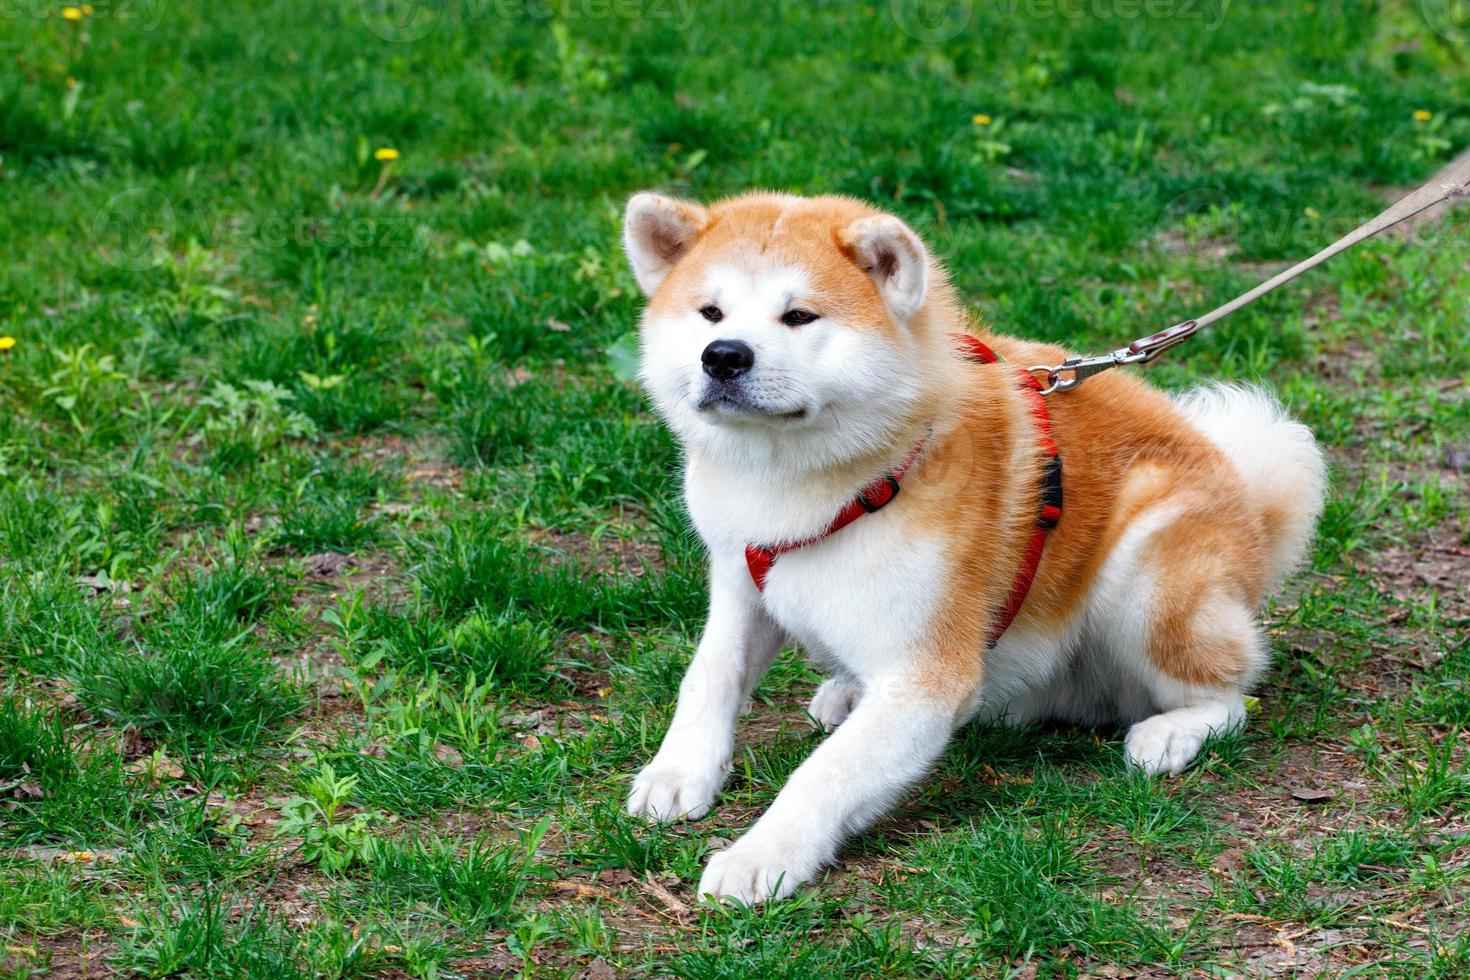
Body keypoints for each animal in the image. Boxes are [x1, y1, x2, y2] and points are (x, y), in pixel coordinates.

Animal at [614, 191, 1328, 905]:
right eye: (710, 312)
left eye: (799, 316)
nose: (723, 355)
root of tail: (1254, 516)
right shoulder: (742, 581)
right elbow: (709, 676)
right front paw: (679, 773)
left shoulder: (930, 678)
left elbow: (824, 775)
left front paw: (761, 854)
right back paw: (849, 691)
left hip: (1144, 576)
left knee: (1229, 696)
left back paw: (1172, 733)